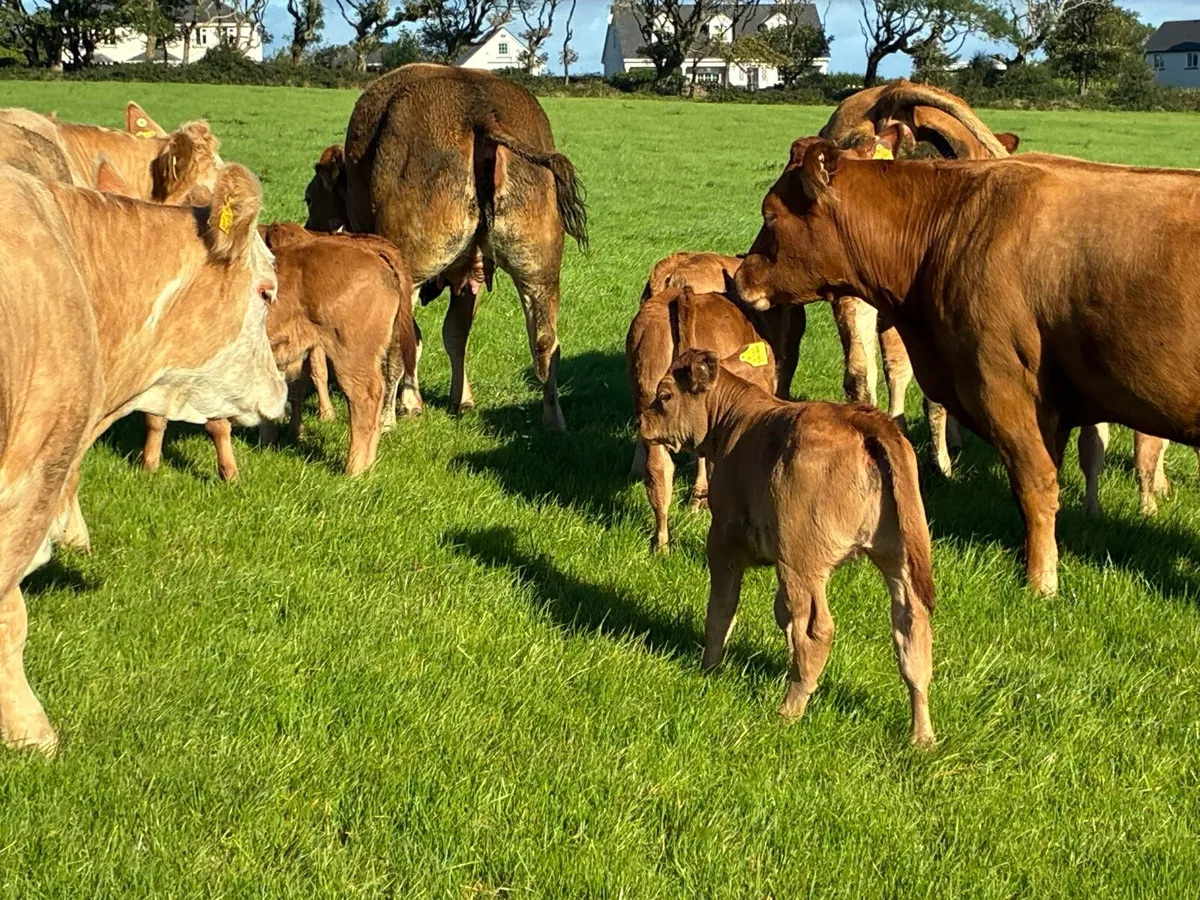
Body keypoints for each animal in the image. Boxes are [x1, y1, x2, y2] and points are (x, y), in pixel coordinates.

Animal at [140, 224, 418, 478]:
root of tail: (371, 253)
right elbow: (155, 418)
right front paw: (149, 466)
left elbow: (216, 425)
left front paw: (229, 475)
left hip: (352, 355)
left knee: (365, 398)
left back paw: (354, 469)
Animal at [303, 63, 587, 432]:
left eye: (310, 198)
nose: (309, 230)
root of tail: (479, 110)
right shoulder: (471, 276)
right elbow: (456, 334)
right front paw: (461, 400)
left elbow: (423, 338)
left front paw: (412, 403)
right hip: (539, 271)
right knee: (545, 343)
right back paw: (553, 421)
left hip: (408, 270)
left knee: (399, 345)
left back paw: (385, 421)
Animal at [639, 348, 935, 745]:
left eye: (666, 395)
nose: (642, 421)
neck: (736, 422)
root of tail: (861, 419)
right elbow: (783, 614)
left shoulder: (725, 541)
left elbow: (721, 609)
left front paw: (709, 668)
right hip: (897, 556)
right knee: (911, 628)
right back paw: (922, 736)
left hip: (804, 560)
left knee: (817, 629)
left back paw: (790, 708)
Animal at [734, 108, 1200, 595]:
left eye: (770, 215)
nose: (741, 279)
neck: (953, 223)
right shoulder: (1048, 406)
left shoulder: (1002, 387)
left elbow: (1035, 483)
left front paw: (1041, 582)